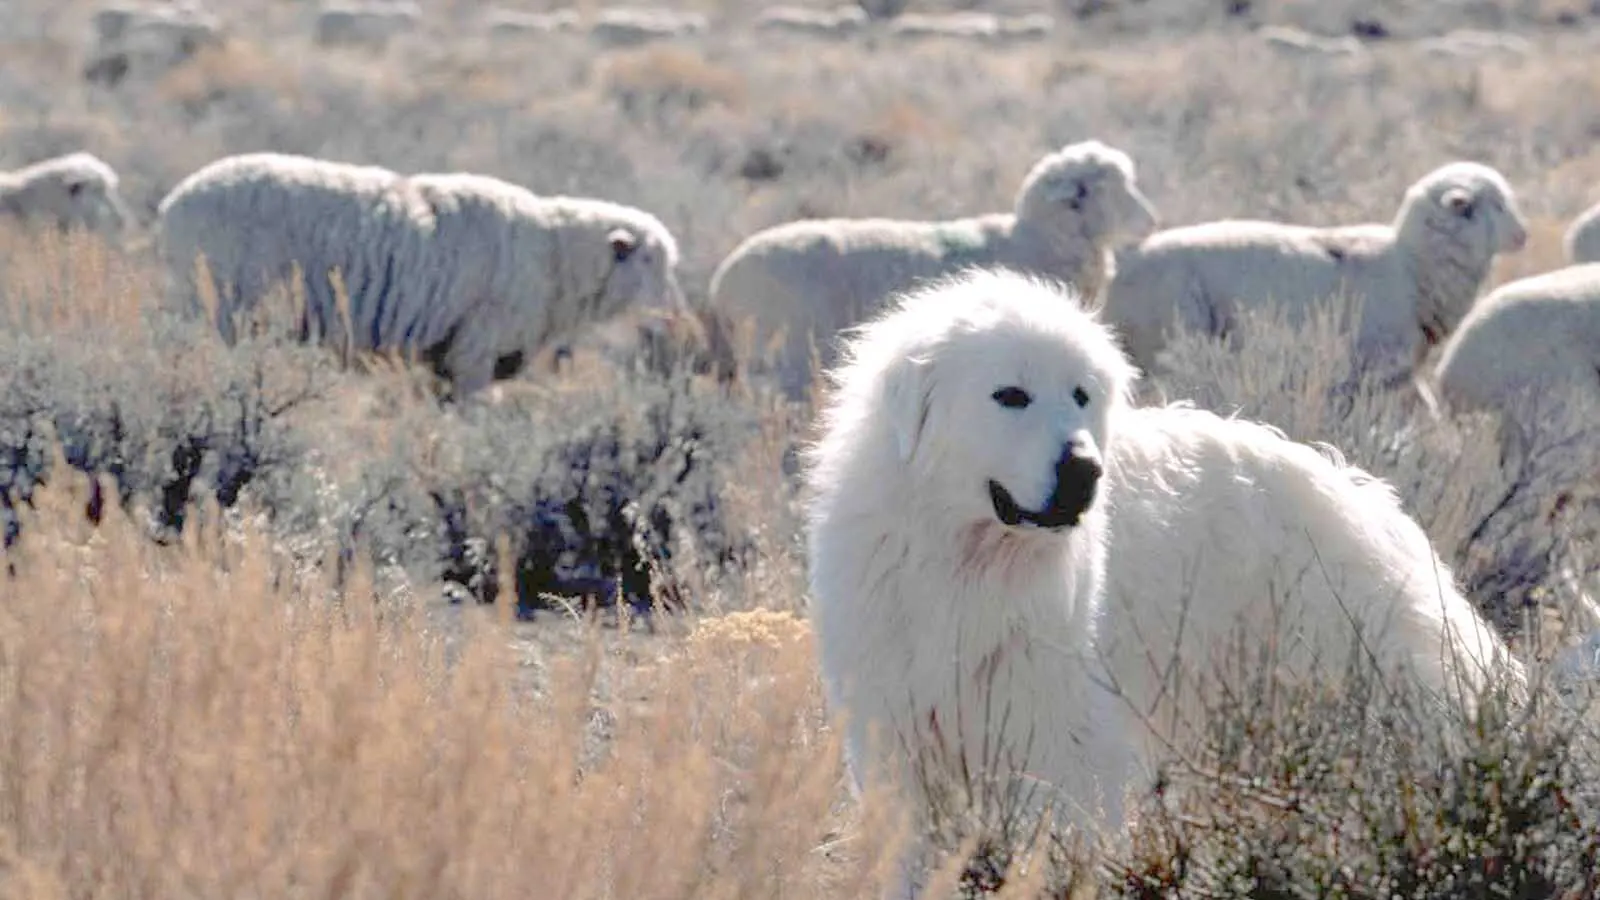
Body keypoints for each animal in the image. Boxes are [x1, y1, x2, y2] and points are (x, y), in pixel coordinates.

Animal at [155, 152, 686, 397]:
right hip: (225, 305)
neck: (556, 255)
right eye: (651, 262)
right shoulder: (475, 348)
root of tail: (172, 205)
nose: (674, 320)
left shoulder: (445, 357)